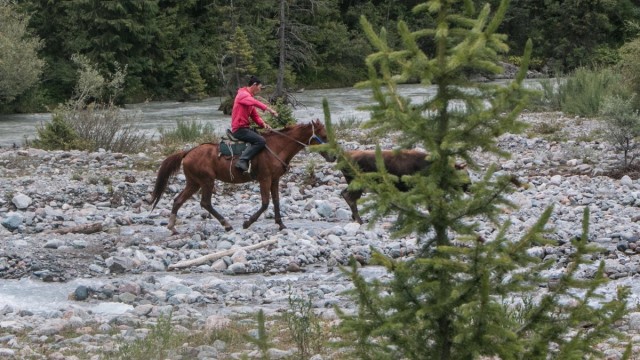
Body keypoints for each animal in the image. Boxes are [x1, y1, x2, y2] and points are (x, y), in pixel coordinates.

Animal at [150, 119, 330, 233]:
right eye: (324, 135)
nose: (333, 156)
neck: (277, 147)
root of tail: (187, 152)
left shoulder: (275, 179)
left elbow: (276, 201)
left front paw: (281, 224)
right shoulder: (264, 179)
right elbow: (265, 203)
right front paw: (247, 223)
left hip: (194, 183)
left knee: (178, 200)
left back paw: (172, 227)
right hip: (207, 181)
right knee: (205, 203)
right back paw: (227, 224)